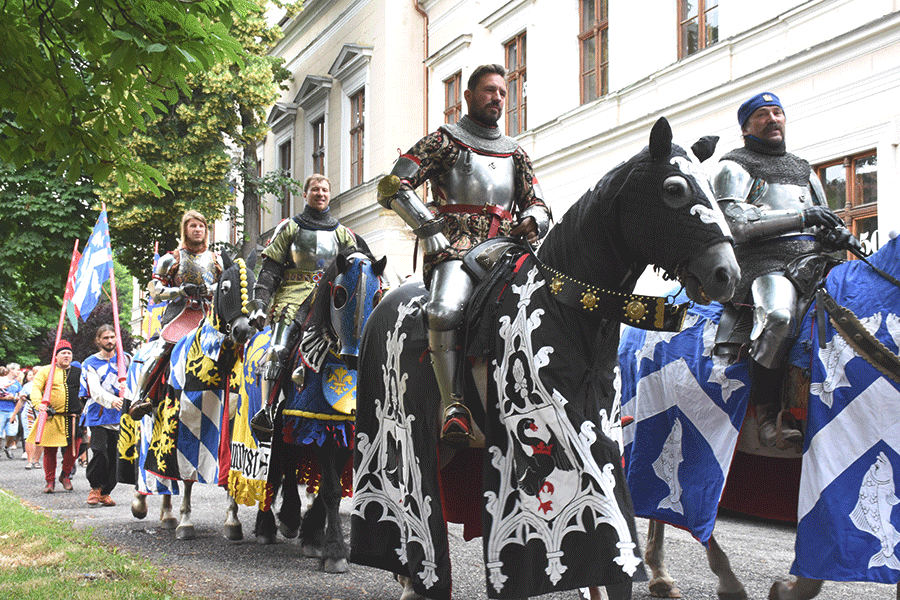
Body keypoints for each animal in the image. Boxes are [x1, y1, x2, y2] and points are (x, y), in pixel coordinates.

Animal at [350, 118, 740, 600]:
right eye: (673, 189)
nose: (726, 274)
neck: (568, 307)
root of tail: (384, 304)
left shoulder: (601, 440)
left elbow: (615, 551)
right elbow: (397, 182)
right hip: (407, 431)